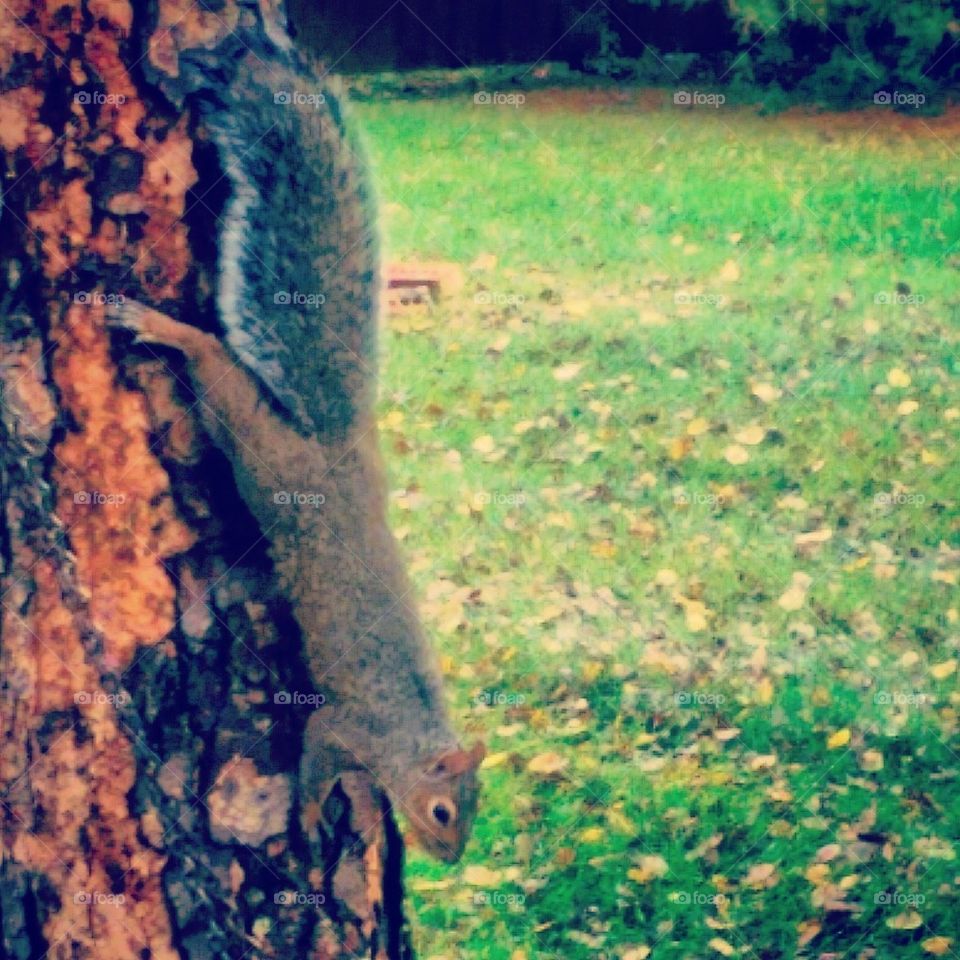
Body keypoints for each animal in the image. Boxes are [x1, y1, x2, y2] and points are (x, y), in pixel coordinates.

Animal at [108, 2, 484, 862]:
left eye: (474, 815)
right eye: (445, 811)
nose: (447, 860)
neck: (407, 736)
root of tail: (335, 444)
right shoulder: (348, 725)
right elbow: (315, 758)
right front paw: (314, 817)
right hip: (257, 446)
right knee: (212, 362)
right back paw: (159, 326)